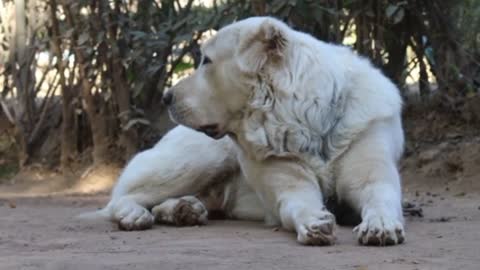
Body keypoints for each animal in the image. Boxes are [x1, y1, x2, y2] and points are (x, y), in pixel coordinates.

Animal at [81, 15, 404, 246]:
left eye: (207, 61)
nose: (166, 97)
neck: (308, 126)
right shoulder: (288, 184)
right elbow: (299, 203)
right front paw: (314, 221)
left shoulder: (372, 176)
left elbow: (381, 198)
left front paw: (381, 225)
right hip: (199, 159)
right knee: (120, 199)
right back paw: (136, 215)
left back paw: (183, 210)